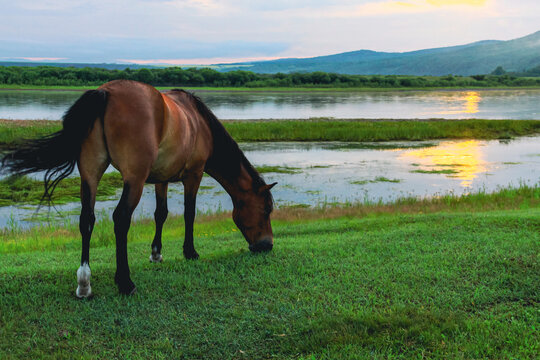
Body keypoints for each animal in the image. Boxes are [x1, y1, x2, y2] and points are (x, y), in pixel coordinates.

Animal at [1, 80, 274, 296]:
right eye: (267, 209)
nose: (267, 245)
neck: (197, 122)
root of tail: (105, 92)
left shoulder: (162, 179)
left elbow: (161, 214)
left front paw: (156, 253)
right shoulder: (193, 176)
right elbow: (189, 214)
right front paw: (190, 252)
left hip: (90, 173)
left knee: (86, 219)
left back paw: (84, 283)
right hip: (134, 179)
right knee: (121, 219)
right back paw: (125, 282)